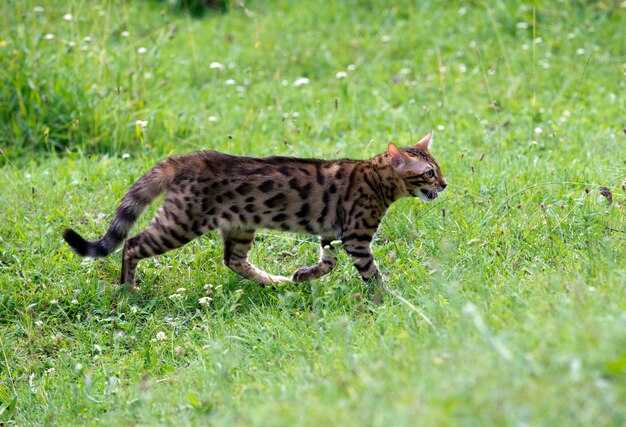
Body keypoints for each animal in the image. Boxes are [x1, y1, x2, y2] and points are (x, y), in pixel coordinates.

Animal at [62, 132, 444, 300]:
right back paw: (128, 288)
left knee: (233, 260)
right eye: (428, 173)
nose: (445, 184)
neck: (376, 178)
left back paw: (274, 281)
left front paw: (304, 275)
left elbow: (327, 262)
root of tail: (189, 157)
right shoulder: (356, 236)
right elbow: (371, 273)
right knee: (132, 245)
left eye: (437, 168)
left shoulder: (332, 234)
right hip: (179, 223)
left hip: (240, 225)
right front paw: (388, 299)